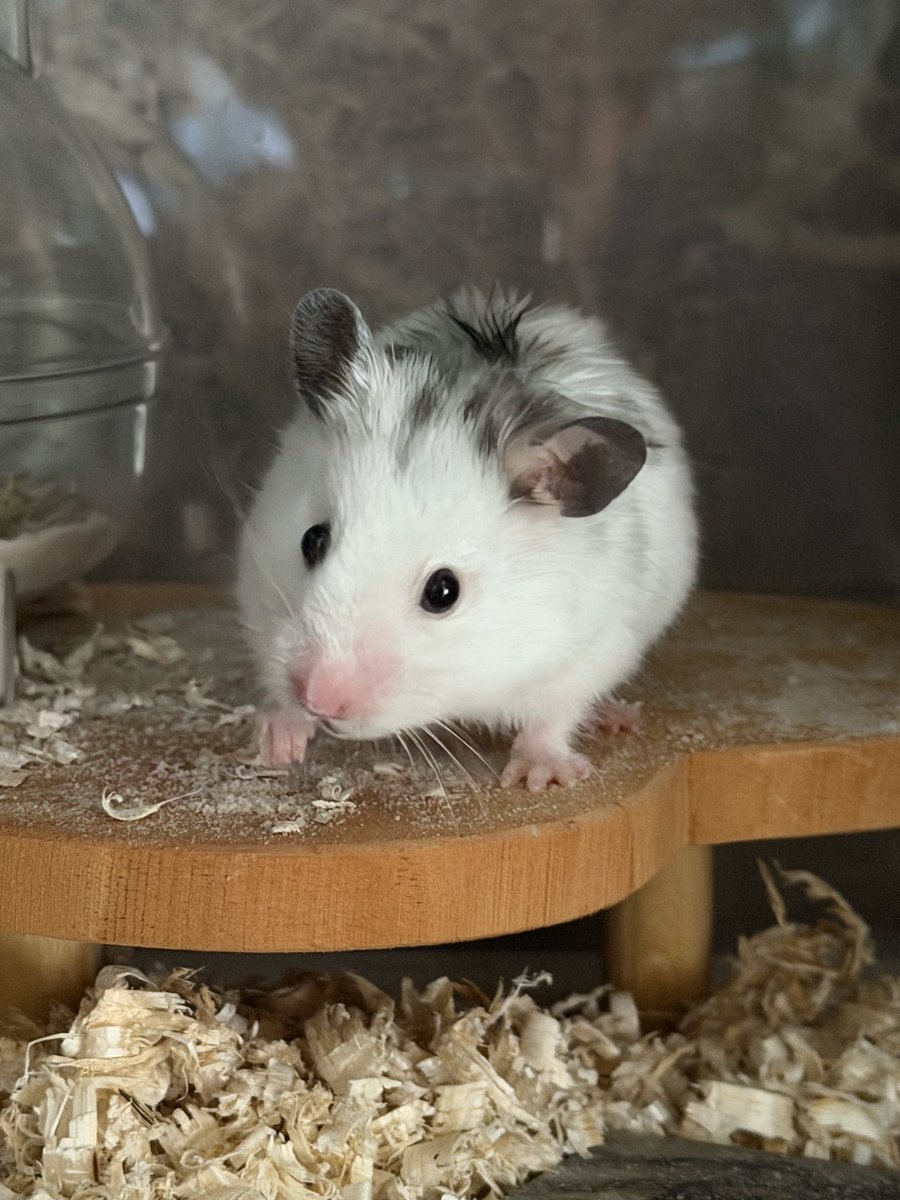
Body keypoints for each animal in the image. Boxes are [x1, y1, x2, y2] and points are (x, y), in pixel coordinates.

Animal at [237, 287, 698, 791]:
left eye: (444, 591)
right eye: (312, 540)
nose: (318, 698)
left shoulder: (589, 651)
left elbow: (553, 717)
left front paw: (539, 778)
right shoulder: (259, 599)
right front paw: (277, 744)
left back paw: (618, 719)